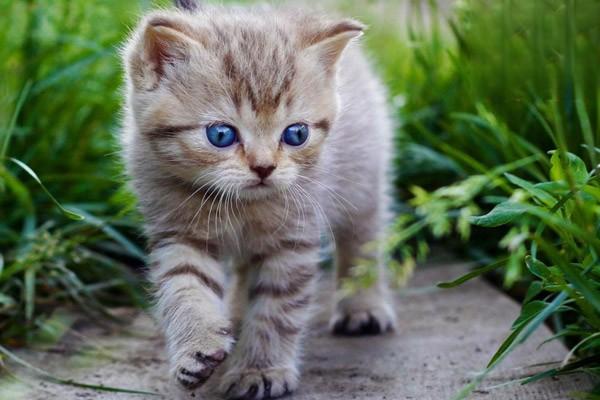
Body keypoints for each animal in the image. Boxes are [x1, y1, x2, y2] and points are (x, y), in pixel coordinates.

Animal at [119, 0, 396, 396]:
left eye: (296, 134)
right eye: (220, 135)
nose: (264, 167)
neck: (237, 206)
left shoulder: (292, 240)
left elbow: (276, 309)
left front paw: (260, 370)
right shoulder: (177, 232)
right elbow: (185, 288)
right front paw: (198, 345)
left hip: (363, 184)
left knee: (362, 241)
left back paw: (363, 306)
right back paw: (233, 314)